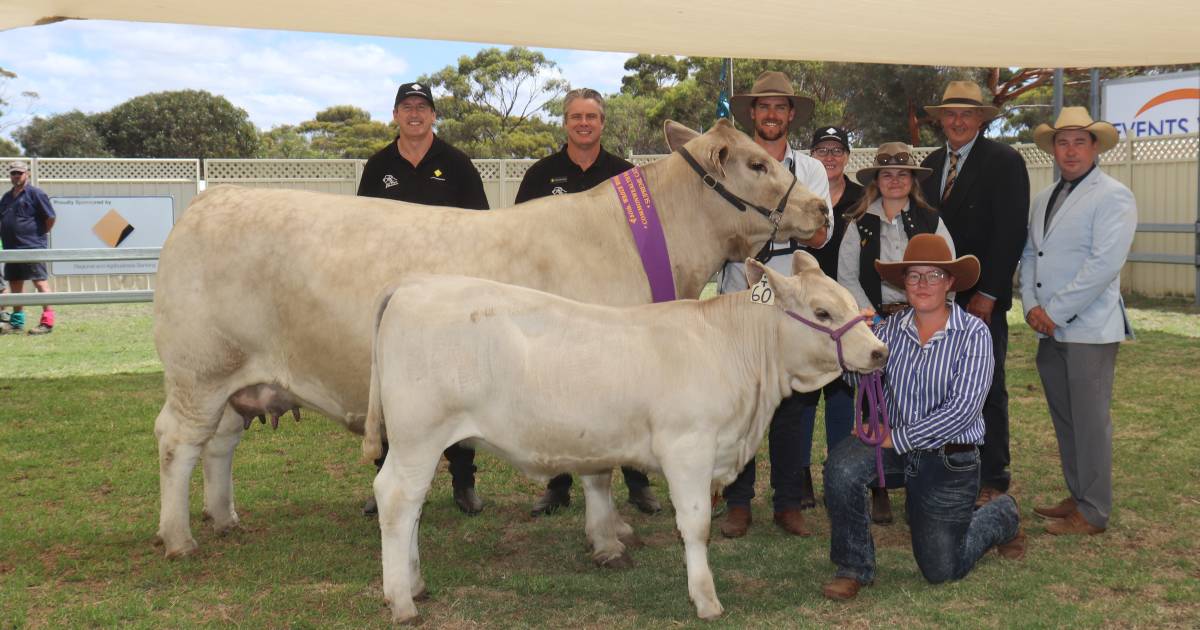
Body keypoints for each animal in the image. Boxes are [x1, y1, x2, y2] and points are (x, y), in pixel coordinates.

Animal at [154, 117, 830, 554]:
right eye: (757, 163)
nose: (821, 209)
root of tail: (207, 204)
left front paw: (615, 530)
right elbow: (597, 470)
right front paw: (608, 539)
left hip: (239, 378)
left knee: (219, 445)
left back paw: (224, 518)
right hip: (199, 370)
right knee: (178, 442)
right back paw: (179, 537)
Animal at [369, 253, 888, 619]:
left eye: (849, 302)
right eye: (822, 311)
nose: (879, 352)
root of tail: (414, 284)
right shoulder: (688, 448)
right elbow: (695, 526)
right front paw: (705, 599)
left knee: (409, 505)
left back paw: (414, 584)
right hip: (419, 436)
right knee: (396, 499)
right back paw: (402, 602)